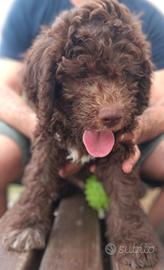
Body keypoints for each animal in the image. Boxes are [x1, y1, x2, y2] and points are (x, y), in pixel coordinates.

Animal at [2, 0, 159, 268]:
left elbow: (123, 192)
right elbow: (39, 177)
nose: (112, 116)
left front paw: (134, 241)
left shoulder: (120, 149)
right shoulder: (47, 138)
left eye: (126, 73)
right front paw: (26, 225)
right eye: (82, 73)